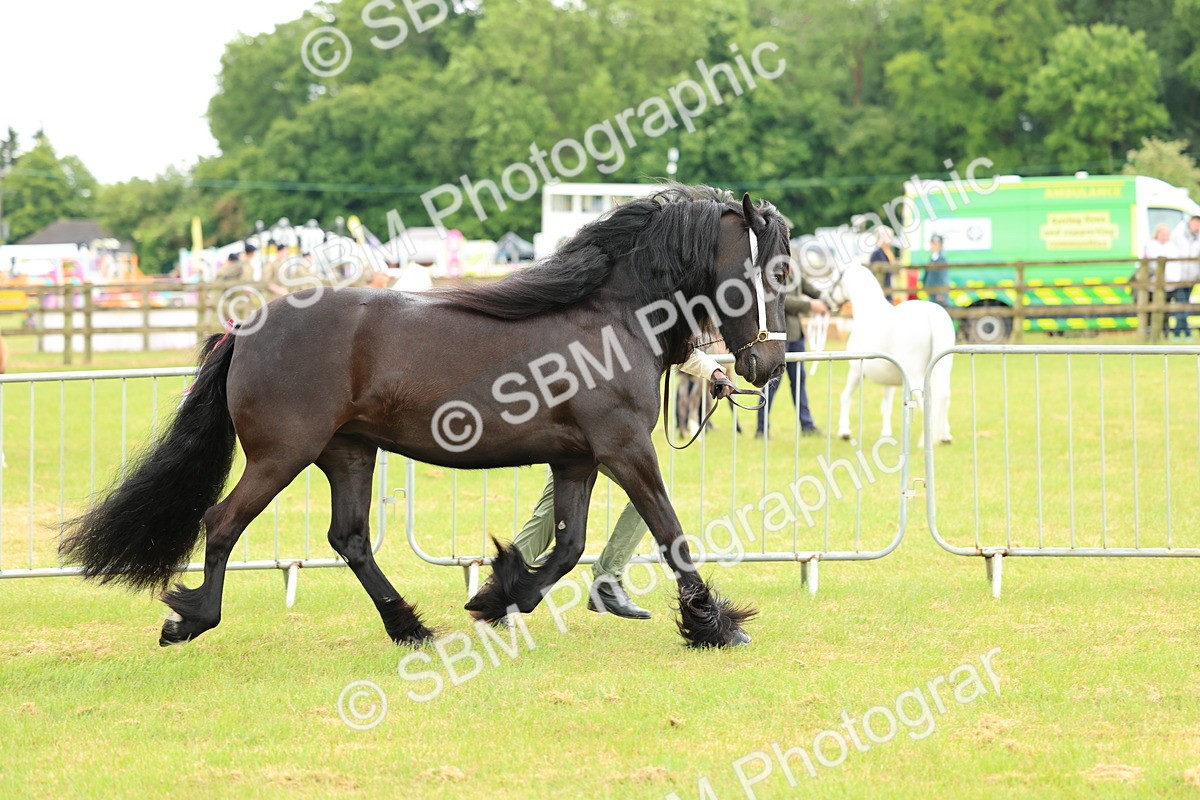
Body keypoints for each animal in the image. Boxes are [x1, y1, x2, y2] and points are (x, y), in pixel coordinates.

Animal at [60, 185, 792, 649]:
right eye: (770, 273)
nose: (767, 366)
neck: (609, 319)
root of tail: (246, 329)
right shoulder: (625, 448)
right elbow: (669, 533)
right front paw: (716, 624)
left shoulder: (577, 460)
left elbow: (568, 547)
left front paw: (499, 594)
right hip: (282, 455)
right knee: (223, 522)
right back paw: (190, 619)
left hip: (349, 453)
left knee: (350, 539)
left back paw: (407, 626)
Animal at [820, 262, 955, 445]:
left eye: (834, 279)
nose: (824, 301)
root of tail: (931, 316)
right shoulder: (889, 380)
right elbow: (886, 407)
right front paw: (886, 435)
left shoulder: (856, 370)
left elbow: (846, 397)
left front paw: (844, 432)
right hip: (941, 368)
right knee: (944, 396)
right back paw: (944, 436)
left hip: (916, 374)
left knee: (927, 400)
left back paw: (925, 441)